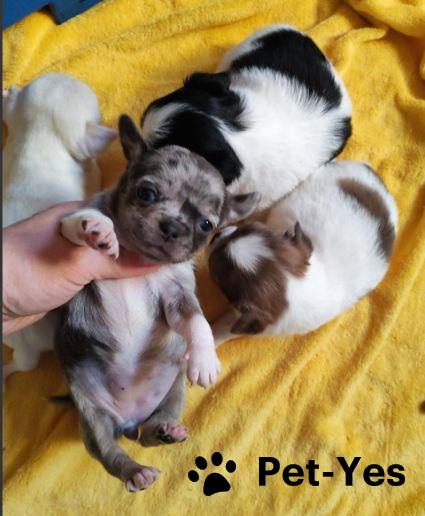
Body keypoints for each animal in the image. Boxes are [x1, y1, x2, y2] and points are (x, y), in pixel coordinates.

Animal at [55, 114, 260, 491]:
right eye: (146, 193)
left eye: (206, 225)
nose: (173, 226)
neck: (140, 256)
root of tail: (128, 419)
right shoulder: (67, 231)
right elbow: (78, 223)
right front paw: (99, 229)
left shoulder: (177, 296)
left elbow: (197, 322)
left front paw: (205, 360)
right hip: (92, 415)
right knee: (109, 453)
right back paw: (136, 472)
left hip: (172, 395)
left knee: (149, 434)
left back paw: (166, 432)